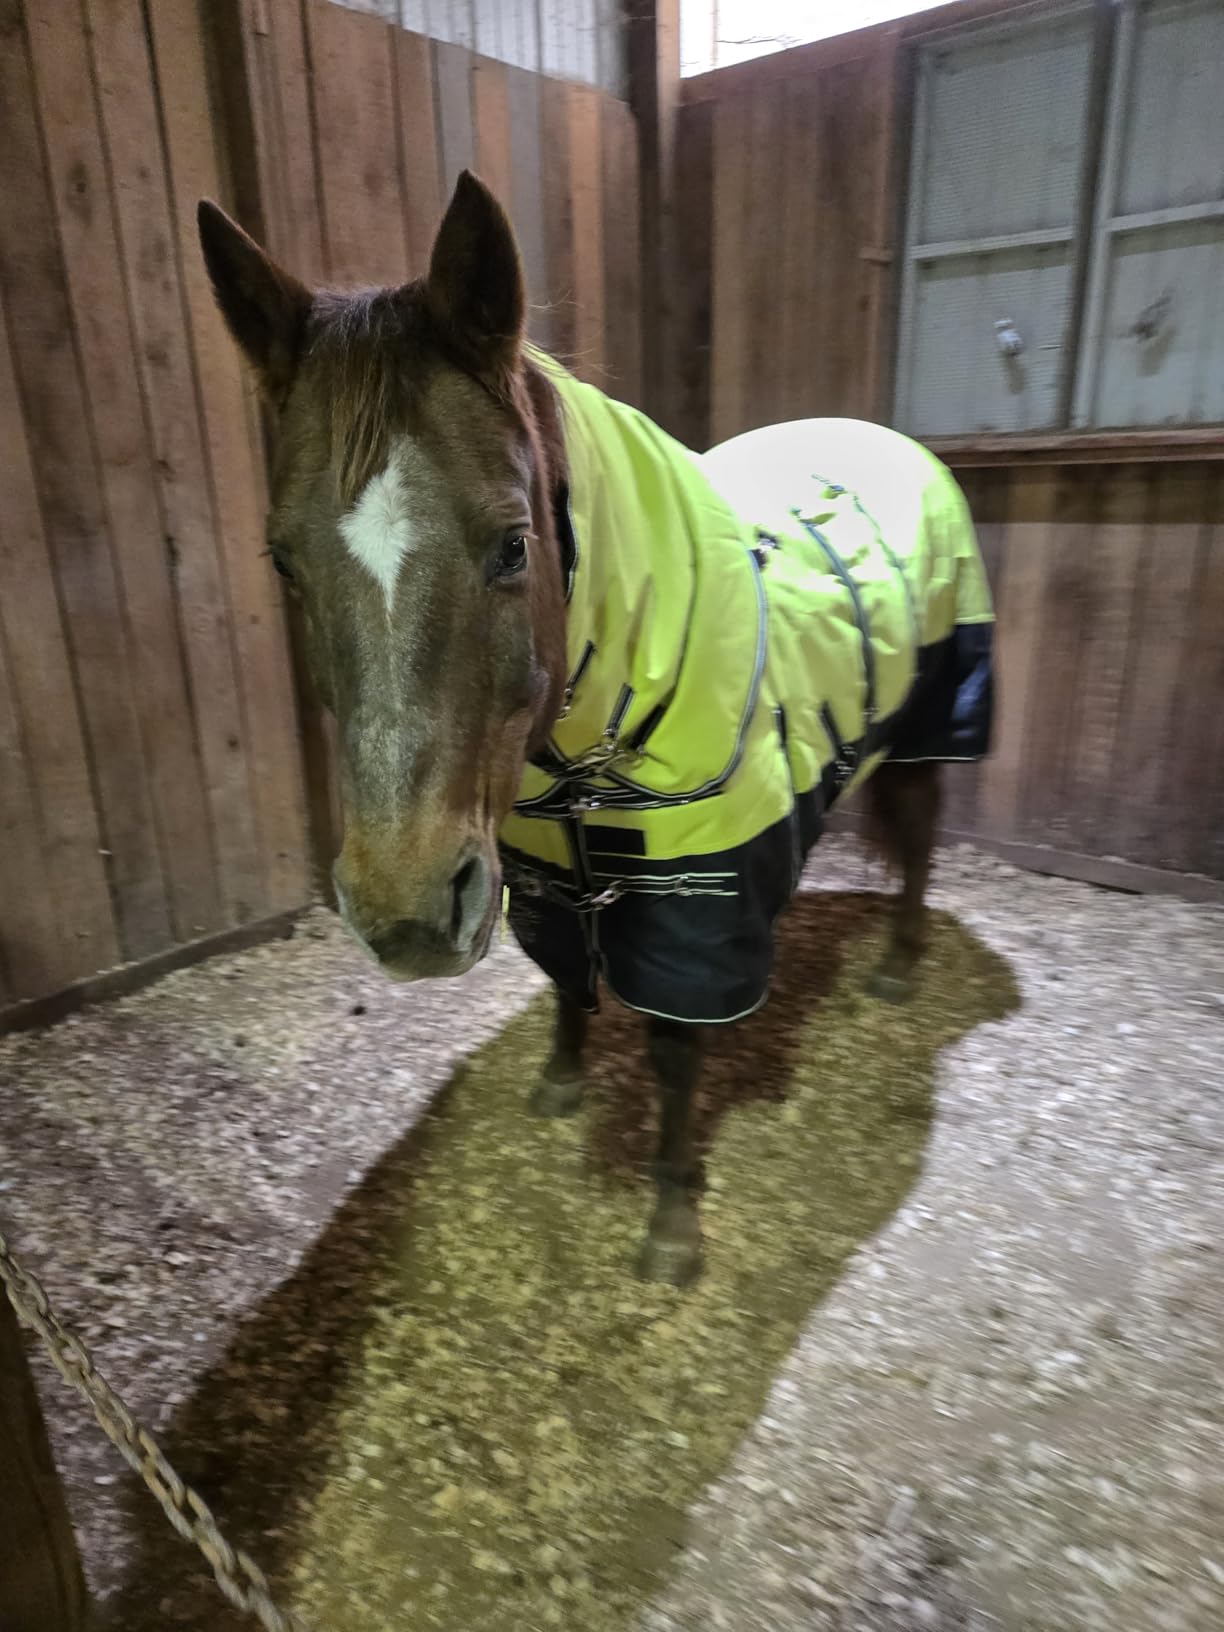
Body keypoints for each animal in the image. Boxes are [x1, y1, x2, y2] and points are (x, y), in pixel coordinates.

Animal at [197, 170, 994, 1287]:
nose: (404, 916)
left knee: (918, 836)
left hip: (928, 725)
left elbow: (674, 1047)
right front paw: (560, 1085)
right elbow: (567, 983)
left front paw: (671, 1224)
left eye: (512, 544)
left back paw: (898, 967)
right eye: (282, 561)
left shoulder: (698, 901)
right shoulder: (538, 874)